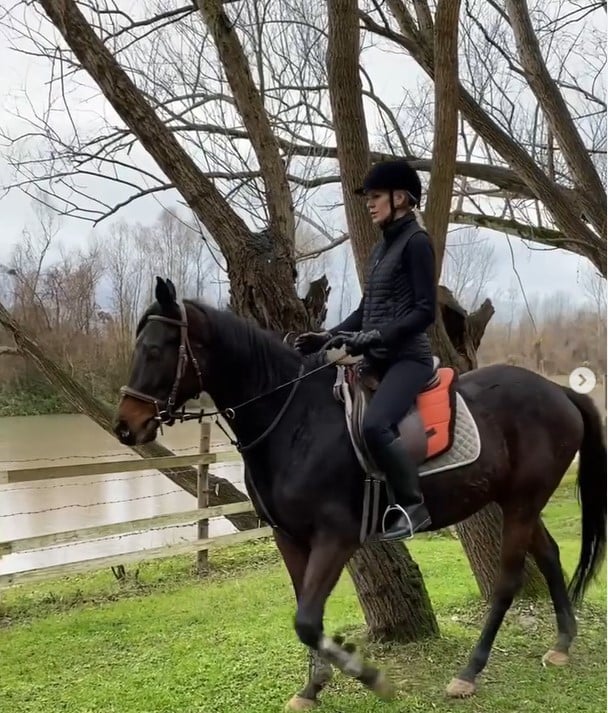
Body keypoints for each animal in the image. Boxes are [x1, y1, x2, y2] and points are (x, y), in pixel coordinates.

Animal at [113, 276, 604, 708]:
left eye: (155, 349)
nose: (125, 427)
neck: (295, 419)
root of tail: (559, 390)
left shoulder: (336, 537)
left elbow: (307, 621)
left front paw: (366, 675)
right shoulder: (289, 538)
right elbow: (305, 615)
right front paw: (312, 688)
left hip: (521, 503)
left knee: (507, 582)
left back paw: (469, 672)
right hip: (517, 501)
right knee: (550, 554)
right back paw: (562, 642)